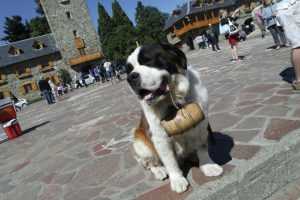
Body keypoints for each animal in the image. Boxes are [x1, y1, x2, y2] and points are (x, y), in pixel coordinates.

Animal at [125, 42, 223, 194]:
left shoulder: (201, 127)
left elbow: (202, 147)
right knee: (151, 161)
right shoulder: (160, 138)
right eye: (128, 70)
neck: (173, 99)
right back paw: (159, 170)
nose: (131, 78)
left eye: (148, 61)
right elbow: (170, 161)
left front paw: (208, 166)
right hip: (139, 140)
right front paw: (177, 180)